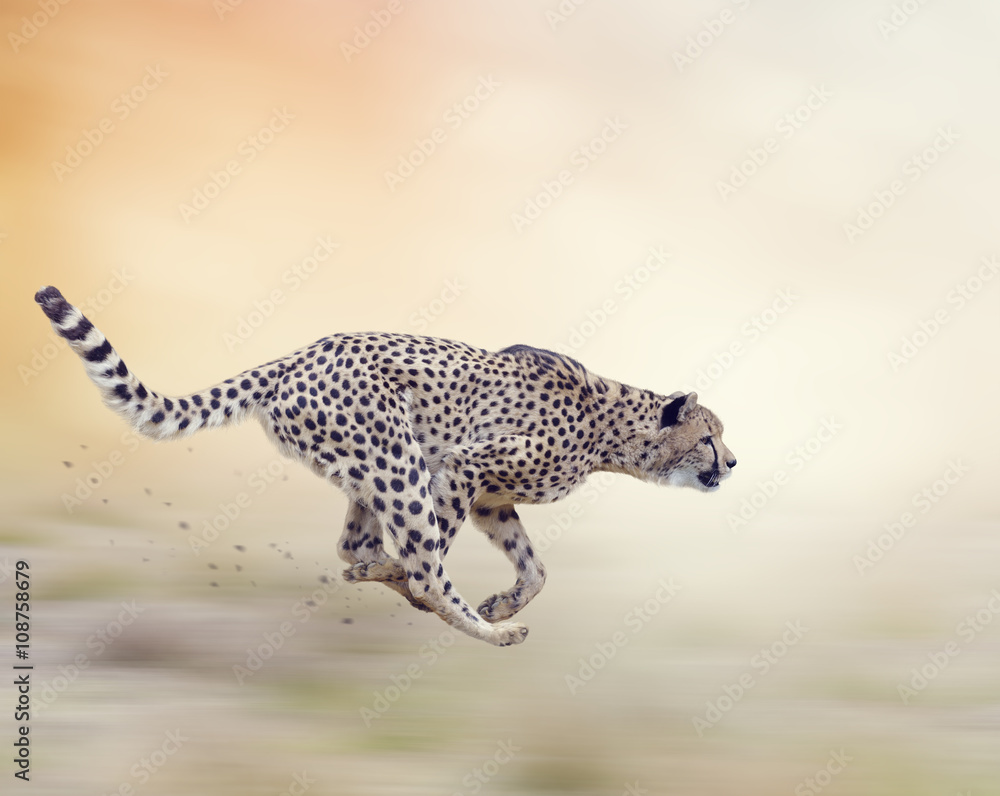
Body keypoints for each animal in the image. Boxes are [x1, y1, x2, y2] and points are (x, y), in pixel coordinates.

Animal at [35, 285, 736, 646]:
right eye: (708, 437)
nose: (732, 463)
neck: (614, 430)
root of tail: (295, 356)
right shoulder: (464, 464)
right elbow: (438, 552)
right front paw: (488, 613)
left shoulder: (492, 497)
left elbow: (536, 569)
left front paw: (503, 601)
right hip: (398, 459)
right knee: (416, 564)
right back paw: (479, 628)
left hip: (369, 466)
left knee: (354, 546)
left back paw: (396, 580)